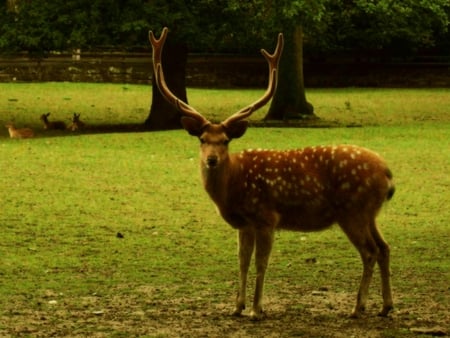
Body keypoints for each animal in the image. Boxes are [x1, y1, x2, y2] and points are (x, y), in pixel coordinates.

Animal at [150, 27, 394, 320]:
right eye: (202, 139)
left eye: (225, 141)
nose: (211, 159)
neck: (233, 187)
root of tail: (388, 173)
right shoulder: (245, 224)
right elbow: (242, 262)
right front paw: (237, 307)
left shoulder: (267, 216)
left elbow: (261, 262)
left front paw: (257, 309)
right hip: (370, 214)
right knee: (384, 247)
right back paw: (385, 307)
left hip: (353, 211)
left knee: (369, 252)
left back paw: (358, 308)